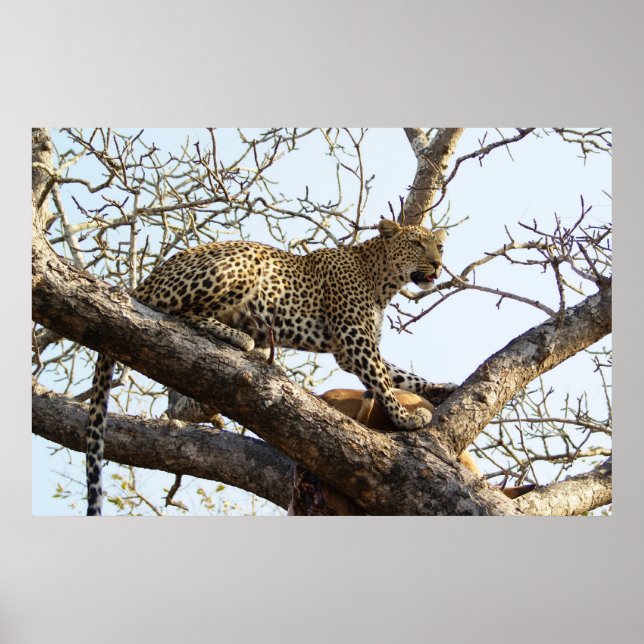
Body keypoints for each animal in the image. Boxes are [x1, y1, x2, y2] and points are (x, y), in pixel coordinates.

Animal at [85, 218, 446, 515]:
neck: (381, 278)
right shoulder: (354, 338)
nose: (437, 264)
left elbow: (403, 376)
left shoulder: (352, 346)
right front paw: (405, 418)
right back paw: (244, 340)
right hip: (244, 262)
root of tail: (144, 282)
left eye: (439, 246)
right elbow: (383, 381)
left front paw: (442, 388)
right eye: (417, 244)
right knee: (180, 313)